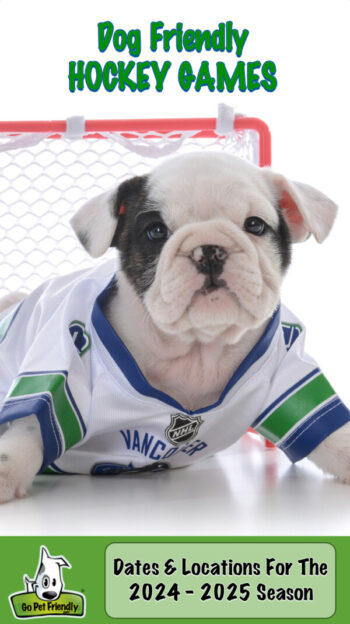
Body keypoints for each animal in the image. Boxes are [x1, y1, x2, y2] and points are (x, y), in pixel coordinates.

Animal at [0, 152, 348, 502]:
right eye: (156, 232)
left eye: (255, 225)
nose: (209, 249)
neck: (197, 349)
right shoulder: (65, 365)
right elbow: (30, 430)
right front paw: (7, 469)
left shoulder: (286, 370)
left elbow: (334, 437)